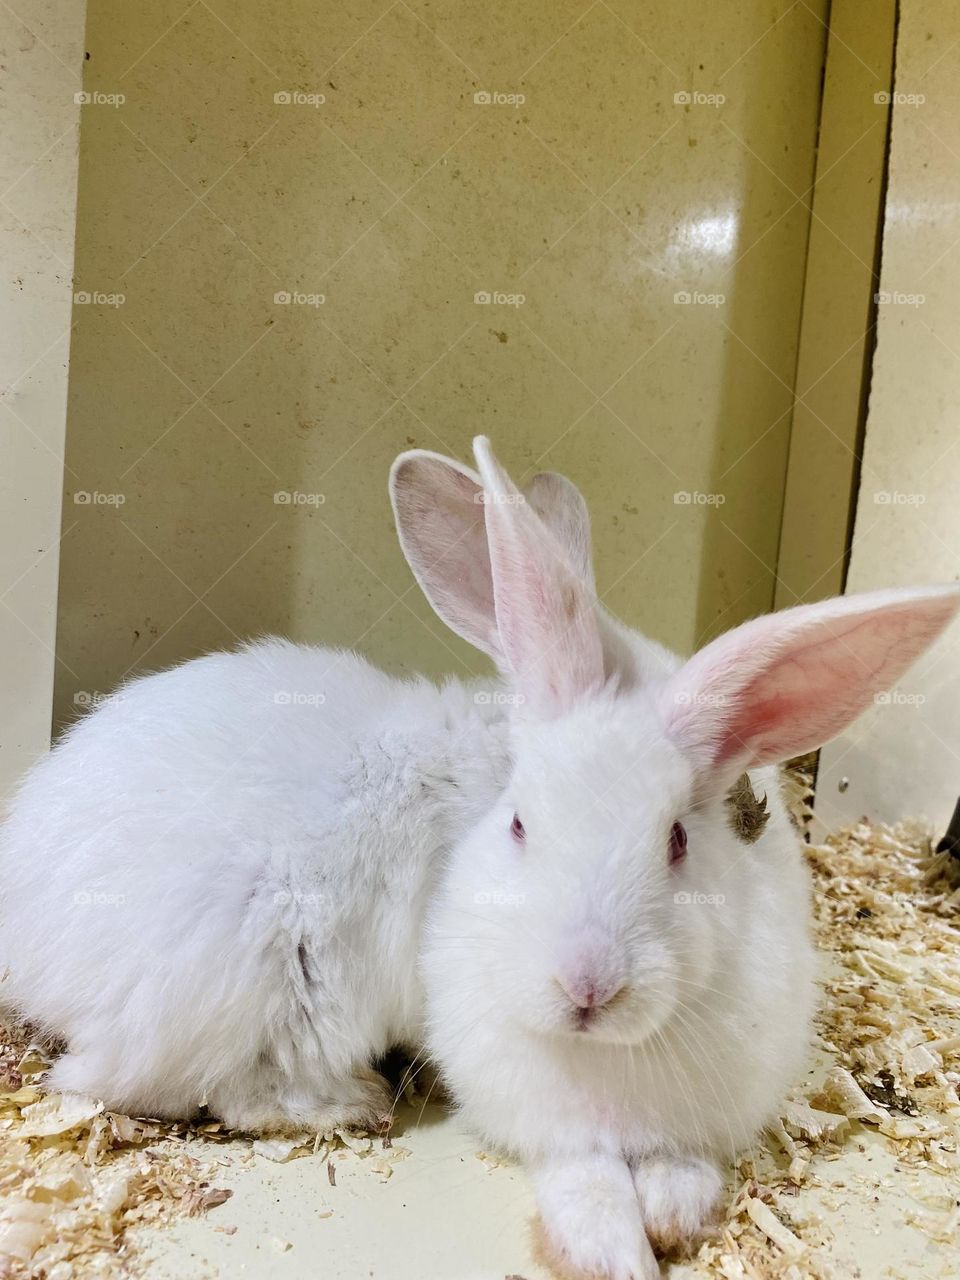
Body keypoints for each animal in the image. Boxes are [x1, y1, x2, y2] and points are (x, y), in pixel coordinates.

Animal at [0, 436, 956, 1280]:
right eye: (523, 824)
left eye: (684, 838)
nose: (587, 986)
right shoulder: (541, 1117)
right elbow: (583, 1178)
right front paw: (614, 1254)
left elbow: (678, 1170)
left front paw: (676, 1220)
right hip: (262, 981)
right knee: (180, 1084)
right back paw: (360, 1102)